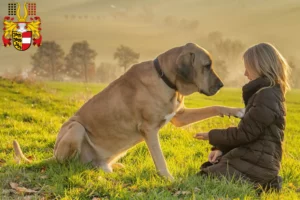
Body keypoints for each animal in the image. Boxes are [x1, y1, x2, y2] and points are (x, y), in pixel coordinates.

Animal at [14, 43, 244, 180]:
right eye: (207, 66)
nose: (222, 85)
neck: (165, 79)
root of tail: (52, 155)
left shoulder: (179, 116)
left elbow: (213, 107)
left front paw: (236, 111)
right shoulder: (149, 130)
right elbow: (160, 158)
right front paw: (169, 179)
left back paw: (109, 168)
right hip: (76, 128)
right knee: (67, 163)